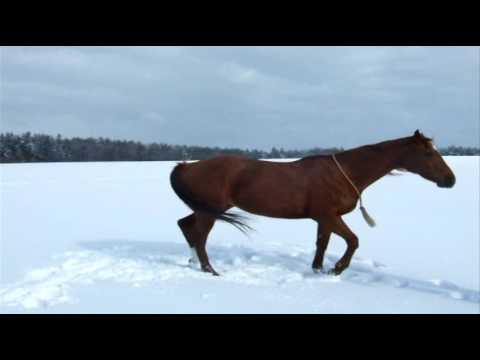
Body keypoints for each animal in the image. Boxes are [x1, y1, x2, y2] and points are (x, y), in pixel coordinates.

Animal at [171, 131, 456, 276]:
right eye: (428, 153)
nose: (450, 180)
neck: (345, 172)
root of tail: (188, 165)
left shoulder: (323, 219)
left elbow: (322, 243)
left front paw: (317, 270)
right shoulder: (329, 216)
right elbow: (353, 241)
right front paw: (337, 269)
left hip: (205, 209)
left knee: (186, 227)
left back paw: (194, 263)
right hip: (210, 212)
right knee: (200, 236)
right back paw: (210, 270)